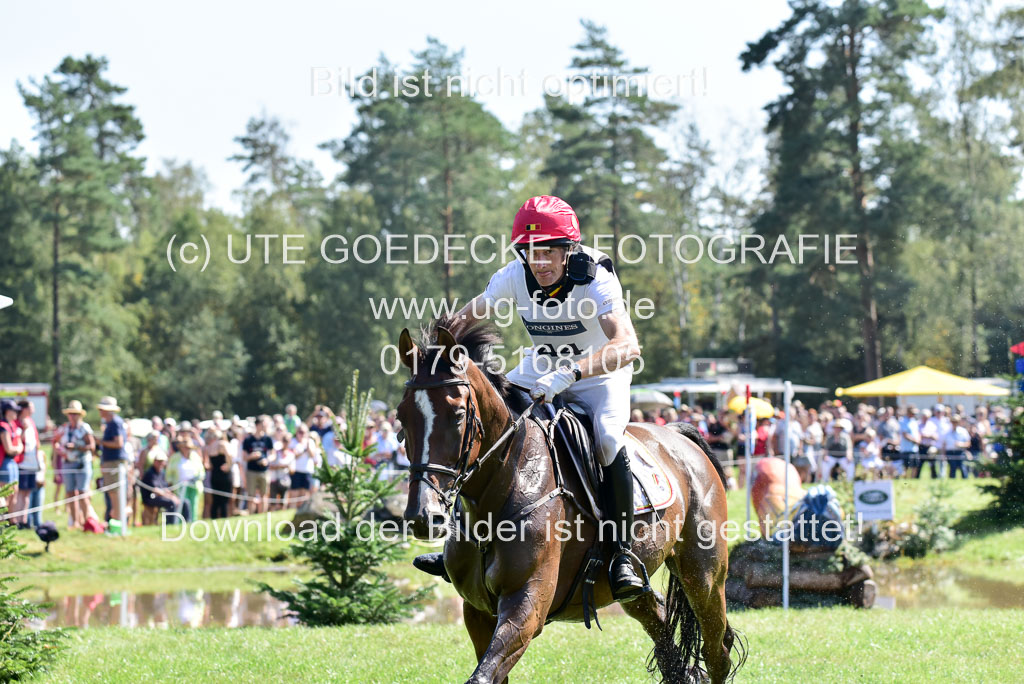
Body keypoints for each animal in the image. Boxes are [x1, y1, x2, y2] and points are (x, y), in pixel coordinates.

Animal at [397, 317, 745, 679]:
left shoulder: (526, 606)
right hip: (636, 589)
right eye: (400, 417)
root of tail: (680, 434)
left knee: (716, 650)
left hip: (703, 576)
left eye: (457, 416)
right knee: (667, 642)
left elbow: (482, 674)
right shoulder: (477, 612)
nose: (423, 516)